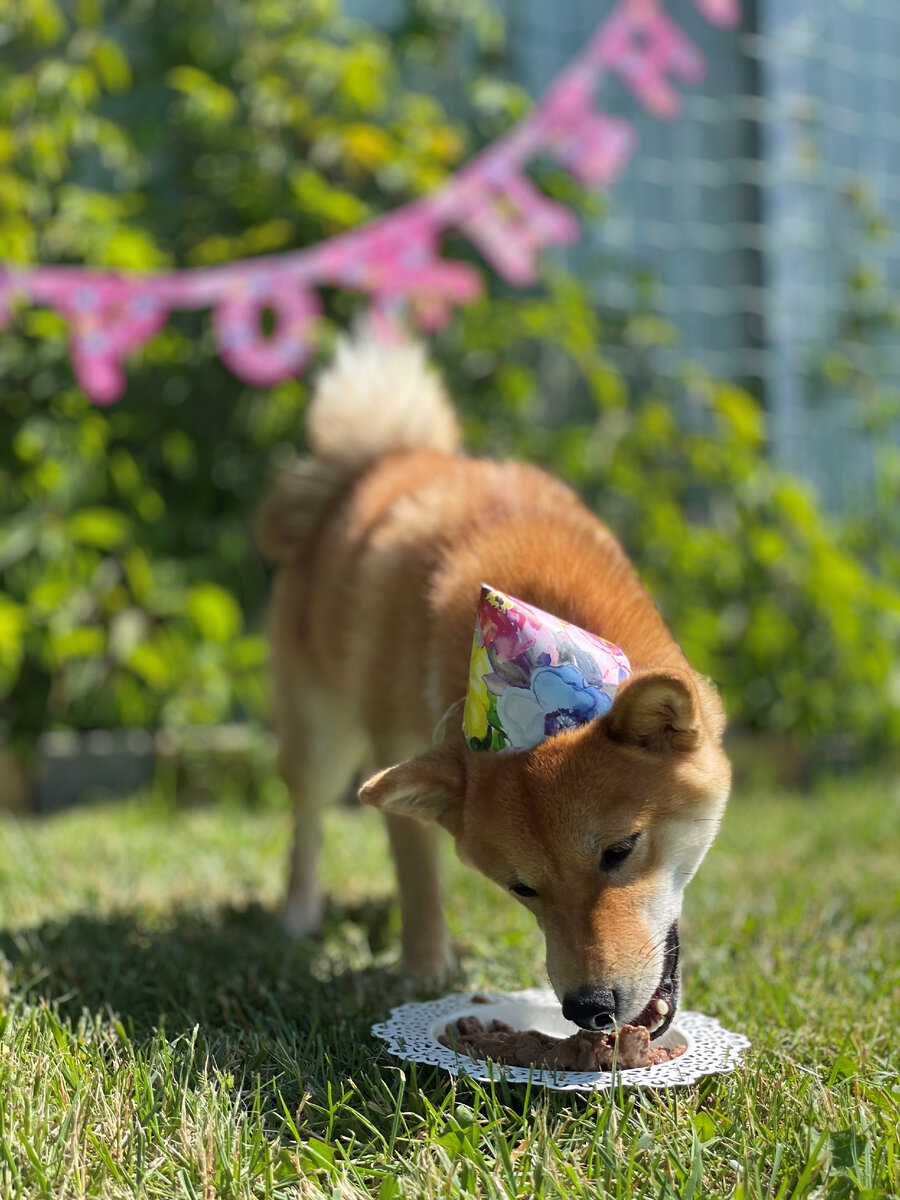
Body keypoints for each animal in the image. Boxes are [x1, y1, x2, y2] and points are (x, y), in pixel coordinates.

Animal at [256, 326, 734, 1032]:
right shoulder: (397, 750)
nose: (589, 1009)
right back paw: (297, 913)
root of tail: (374, 463)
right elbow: (418, 884)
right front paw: (425, 972)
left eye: (621, 850)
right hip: (320, 737)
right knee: (307, 821)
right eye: (522, 887)